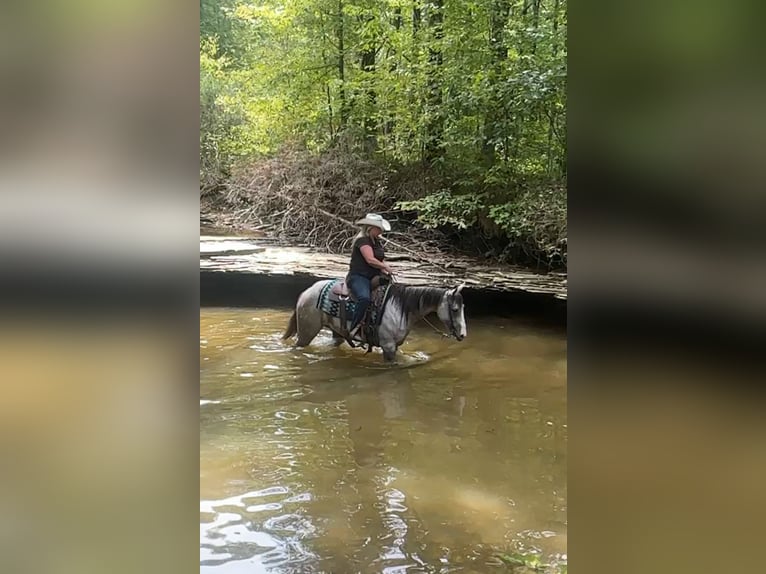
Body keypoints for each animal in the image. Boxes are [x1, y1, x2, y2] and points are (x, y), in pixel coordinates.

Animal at [282, 279, 467, 362]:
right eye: (455, 309)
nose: (463, 335)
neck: (400, 309)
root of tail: (306, 292)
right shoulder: (388, 346)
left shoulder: (394, 346)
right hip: (306, 332)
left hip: (337, 332)